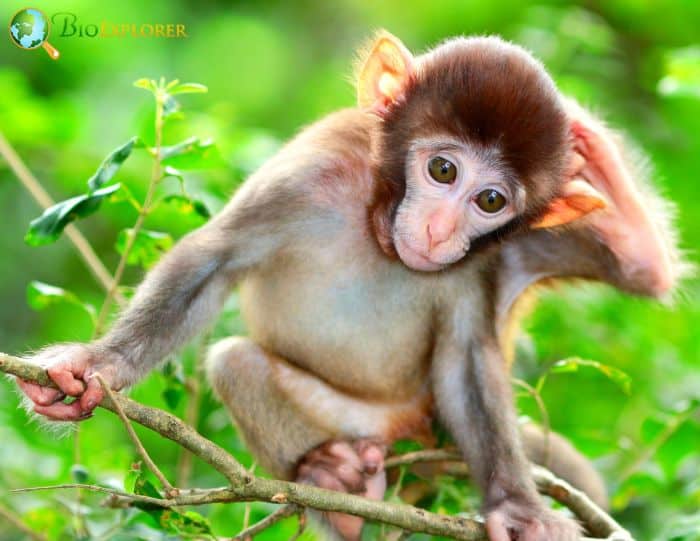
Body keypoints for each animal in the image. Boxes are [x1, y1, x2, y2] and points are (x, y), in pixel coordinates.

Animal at [19, 32, 680, 540]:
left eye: (490, 201)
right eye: (443, 169)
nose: (440, 231)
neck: (379, 230)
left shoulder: (495, 253)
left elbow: (469, 359)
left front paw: (516, 508)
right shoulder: (312, 171)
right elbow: (212, 260)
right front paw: (96, 365)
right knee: (235, 361)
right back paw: (333, 483)